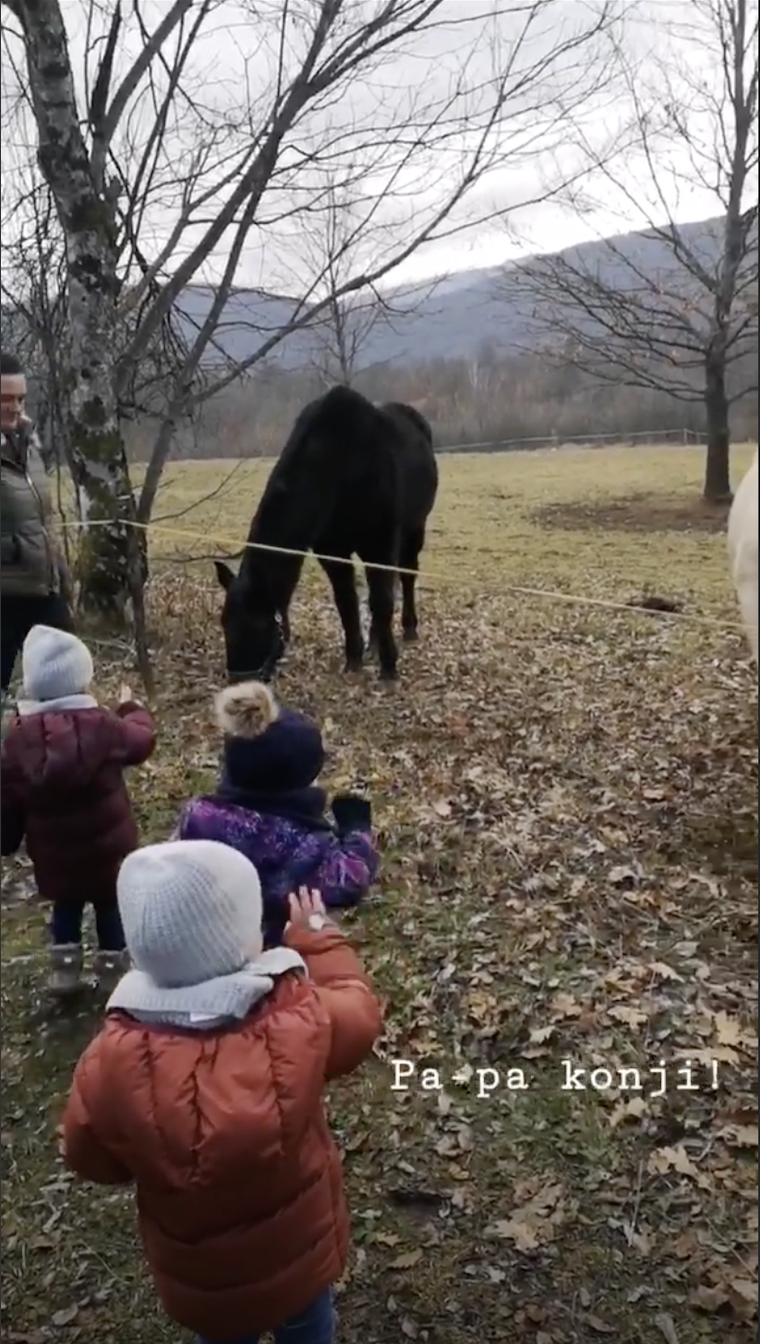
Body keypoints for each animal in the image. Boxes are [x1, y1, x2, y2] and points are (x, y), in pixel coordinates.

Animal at [213, 387, 438, 682]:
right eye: (224, 623)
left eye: (257, 626)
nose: (240, 680)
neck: (340, 464)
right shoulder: (332, 551)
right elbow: (347, 603)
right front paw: (354, 658)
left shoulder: (379, 544)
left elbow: (382, 601)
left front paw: (389, 667)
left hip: (414, 529)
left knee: (407, 576)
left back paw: (409, 628)